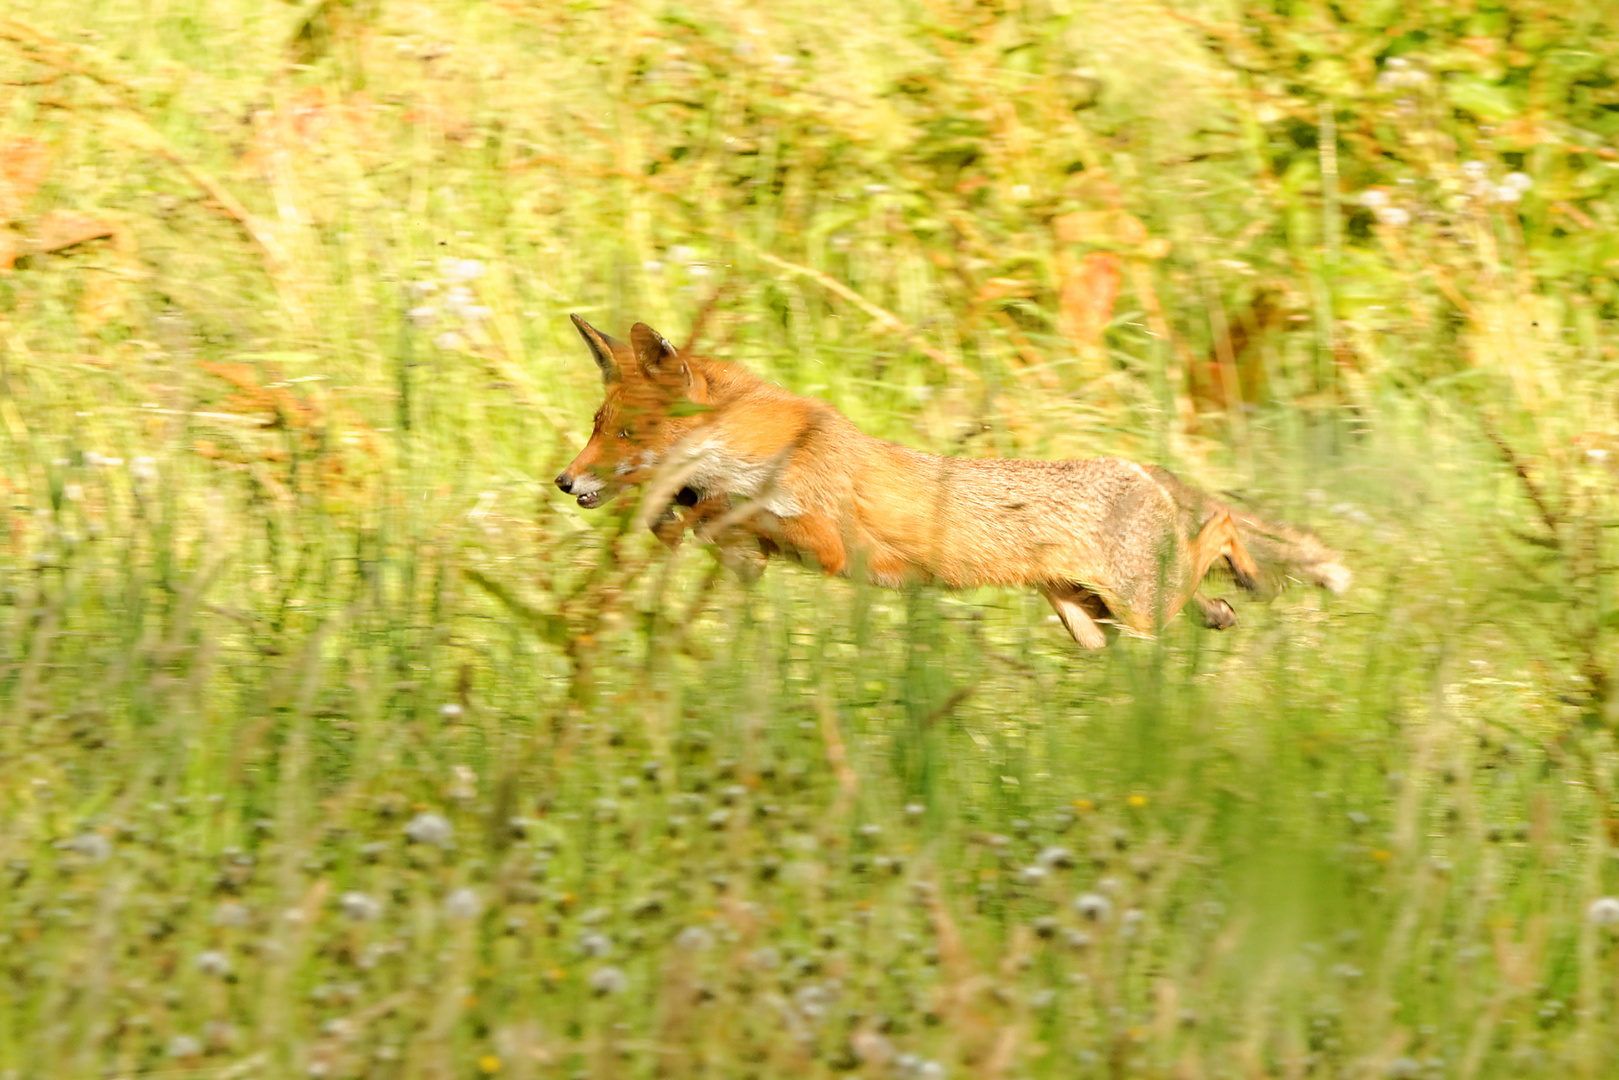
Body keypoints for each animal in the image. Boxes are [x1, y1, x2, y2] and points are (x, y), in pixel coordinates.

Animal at [550, 317, 1347, 647]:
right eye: (598, 423)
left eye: (628, 435)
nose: (564, 480)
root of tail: (1128, 462)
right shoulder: (755, 550)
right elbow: (707, 521)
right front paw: (664, 524)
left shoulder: (829, 539)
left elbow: (718, 511)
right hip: (1092, 620)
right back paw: (1218, 611)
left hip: (1135, 606)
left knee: (1222, 527)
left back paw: (1247, 579)